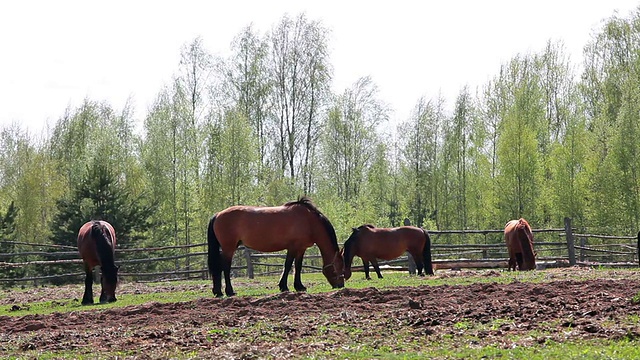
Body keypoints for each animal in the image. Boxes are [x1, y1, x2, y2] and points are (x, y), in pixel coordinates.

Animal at [208, 198, 344, 296]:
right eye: (339, 268)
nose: (340, 285)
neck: (309, 221)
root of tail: (218, 214)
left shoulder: (301, 249)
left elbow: (298, 267)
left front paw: (299, 286)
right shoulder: (293, 247)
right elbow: (288, 265)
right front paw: (284, 287)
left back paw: (218, 292)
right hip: (229, 248)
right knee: (225, 267)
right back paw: (229, 291)